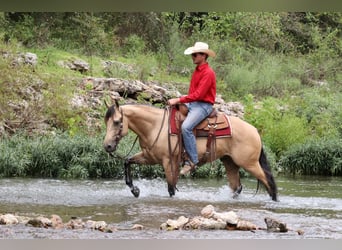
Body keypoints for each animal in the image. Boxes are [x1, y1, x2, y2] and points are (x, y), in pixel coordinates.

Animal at [102, 99, 278, 201]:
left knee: (268, 181)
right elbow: (127, 161)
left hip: (249, 163)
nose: (108, 146)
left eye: (117, 122)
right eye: (106, 122)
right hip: (230, 162)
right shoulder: (149, 157)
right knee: (237, 187)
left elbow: (171, 188)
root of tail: (255, 130)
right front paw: (135, 190)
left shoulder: (169, 161)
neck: (155, 126)